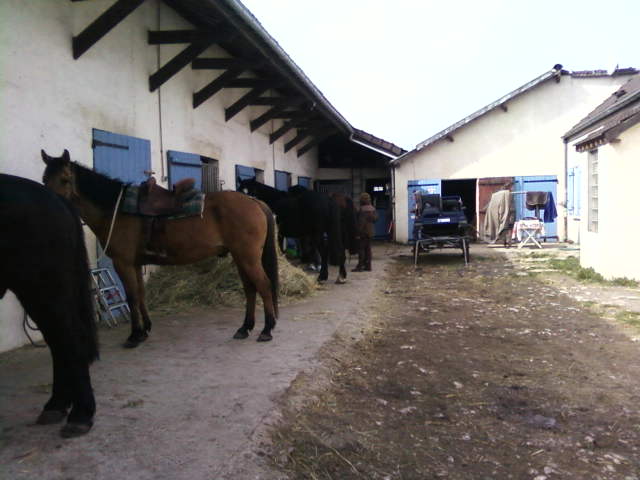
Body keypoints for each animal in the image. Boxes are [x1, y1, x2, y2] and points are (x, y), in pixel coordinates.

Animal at [0, 173, 97, 438]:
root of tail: (56, 199)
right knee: (57, 341)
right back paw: (56, 405)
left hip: (42, 287)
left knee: (69, 339)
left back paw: (80, 415)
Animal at [42, 148, 278, 346]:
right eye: (44, 179)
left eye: (65, 179)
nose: (51, 208)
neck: (116, 210)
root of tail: (254, 202)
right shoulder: (135, 264)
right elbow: (140, 294)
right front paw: (146, 329)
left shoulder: (123, 263)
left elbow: (132, 297)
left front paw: (134, 335)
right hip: (240, 257)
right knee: (250, 288)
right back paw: (245, 328)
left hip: (247, 257)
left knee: (264, 285)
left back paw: (266, 329)